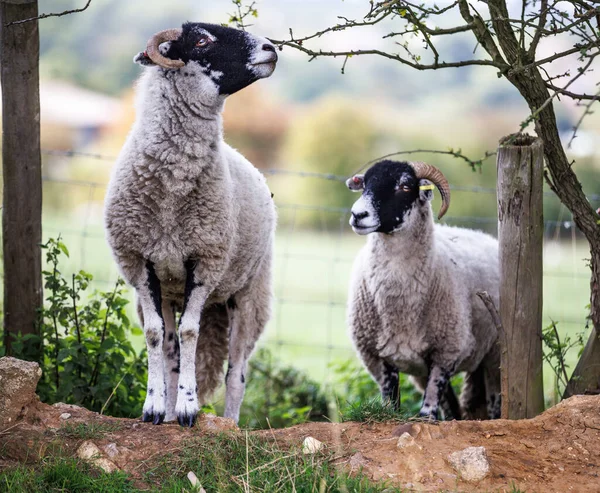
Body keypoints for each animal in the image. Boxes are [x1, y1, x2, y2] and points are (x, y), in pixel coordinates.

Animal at [103, 23, 278, 424]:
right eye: (201, 40)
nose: (271, 48)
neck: (171, 190)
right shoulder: (141, 265)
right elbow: (157, 336)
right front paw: (155, 407)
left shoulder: (205, 261)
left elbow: (190, 333)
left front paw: (188, 407)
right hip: (171, 291)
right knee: (170, 354)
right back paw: (167, 415)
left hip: (249, 295)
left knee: (236, 373)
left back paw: (230, 422)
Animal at [344, 160, 500, 418]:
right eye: (364, 184)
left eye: (405, 186)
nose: (358, 215)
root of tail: (485, 236)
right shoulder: (378, 356)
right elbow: (391, 402)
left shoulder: (447, 350)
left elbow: (430, 406)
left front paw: (426, 417)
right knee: (453, 407)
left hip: (495, 353)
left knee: (494, 400)